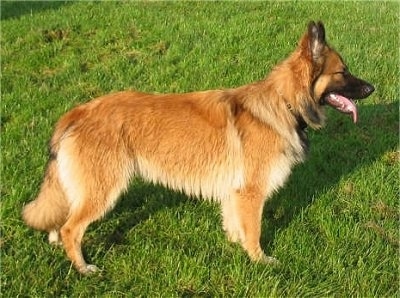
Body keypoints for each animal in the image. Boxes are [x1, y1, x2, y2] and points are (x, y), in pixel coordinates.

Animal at [22, 19, 376, 274]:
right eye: (343, 72)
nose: (372, 88)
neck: (284, 103)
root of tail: (80, 110)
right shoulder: (252, 193)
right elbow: (255, 231)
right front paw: (260, 261)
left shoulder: (235, 193)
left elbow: (236, 226)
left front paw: (236, 249)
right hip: (103, 191)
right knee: (71, 229)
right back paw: (83, 268)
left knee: (61, 220)